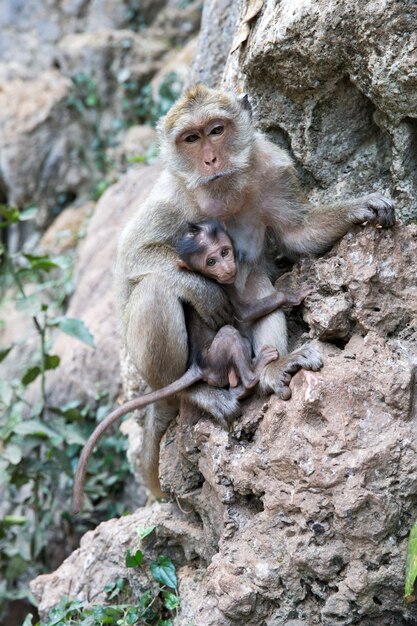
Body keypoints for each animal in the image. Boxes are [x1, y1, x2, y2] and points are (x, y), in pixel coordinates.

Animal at [73, 219, 310, 512]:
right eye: (210, 261)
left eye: (224, 252)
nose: (226, 266)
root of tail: (197, 366)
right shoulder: (221, 288)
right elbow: (242, 311)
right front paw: (289, 296)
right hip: (214, 358)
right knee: (222, 330)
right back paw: (249, 377)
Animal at [115, 83, 394, 494]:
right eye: (191, 139)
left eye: (216, 130)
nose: (211, 159)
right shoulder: (169, 199)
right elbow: (133, 260)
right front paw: (202, 289)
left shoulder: (273, 168)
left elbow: (298, 233)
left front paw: (363, 207)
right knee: (155, 288)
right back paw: (194, 393)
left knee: (256, 284)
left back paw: (270, 369)